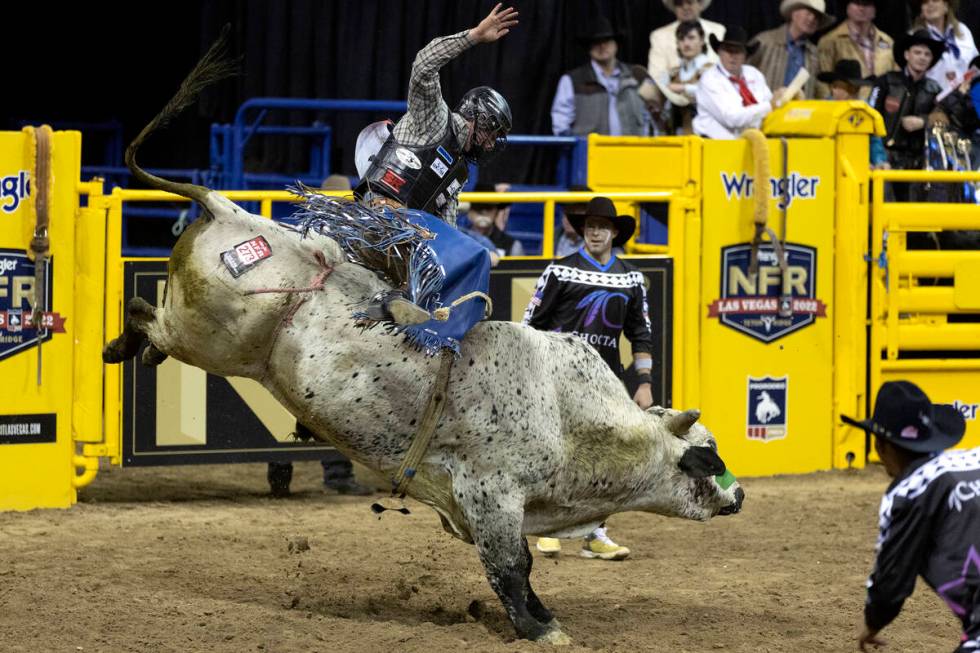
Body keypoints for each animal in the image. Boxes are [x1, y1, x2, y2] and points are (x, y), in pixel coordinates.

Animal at [103, 33, 744, 644]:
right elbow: (513, 568)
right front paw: (543, 627)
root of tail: (231, 212)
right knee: (142, 311)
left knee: (147, 312)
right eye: (709, 458)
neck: (570, 417)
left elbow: (517, 567)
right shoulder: (491, 494)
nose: (740, 497)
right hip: (209, 336)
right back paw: (123, 347)